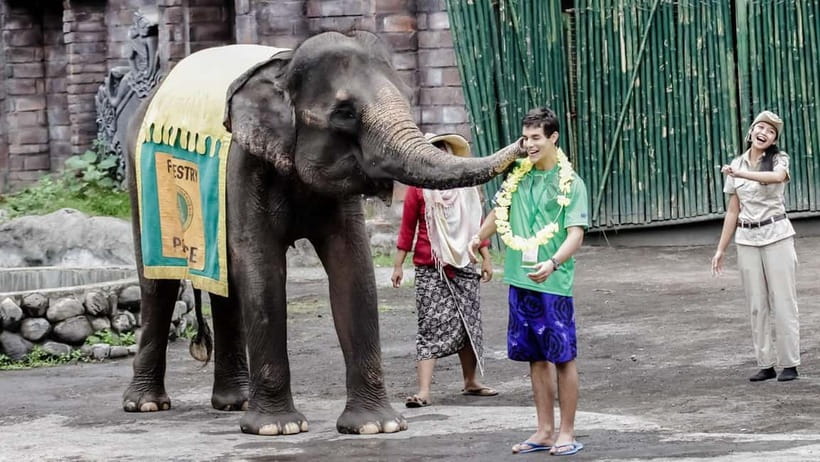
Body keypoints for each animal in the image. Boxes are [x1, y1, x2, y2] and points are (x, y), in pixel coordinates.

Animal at [122, 30, 521, 436]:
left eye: (408, 99)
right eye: (344, 113)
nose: (525, 139)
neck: (283, 70)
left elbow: (353, 267)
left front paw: (376, 426)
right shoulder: (246, 164)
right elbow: (262, 268)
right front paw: (277, 428)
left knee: (225, 284)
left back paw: (235, 403)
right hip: (142, 177)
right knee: (158, 284)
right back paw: (147, 404)